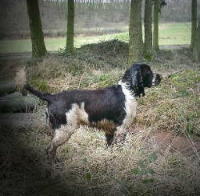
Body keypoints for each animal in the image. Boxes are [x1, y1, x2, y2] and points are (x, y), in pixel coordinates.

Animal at [25, 63, 162, 159]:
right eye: (148, 71)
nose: (160, 77)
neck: (127, 91)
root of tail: (52, 97)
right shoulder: (121, 129)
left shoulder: (110, 130)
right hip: (65, 129)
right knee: (49, 149)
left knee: (51, 149)